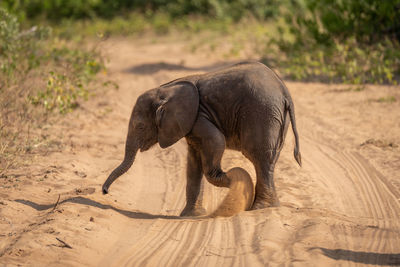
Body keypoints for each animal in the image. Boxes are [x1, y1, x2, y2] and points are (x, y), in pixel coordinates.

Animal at [101, 61, 302, 217]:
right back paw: (265, 206)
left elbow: (217, 141)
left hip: (262, 112)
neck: (164, 90)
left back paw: (259, 208)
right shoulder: (190, 123)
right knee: (269, 158)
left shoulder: (198, 116)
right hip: (275, 117)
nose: (104, 191)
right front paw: (191, 215)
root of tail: (284, 90)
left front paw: (233, 178)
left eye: (140, 127)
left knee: (259, 156)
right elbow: (193, 161)